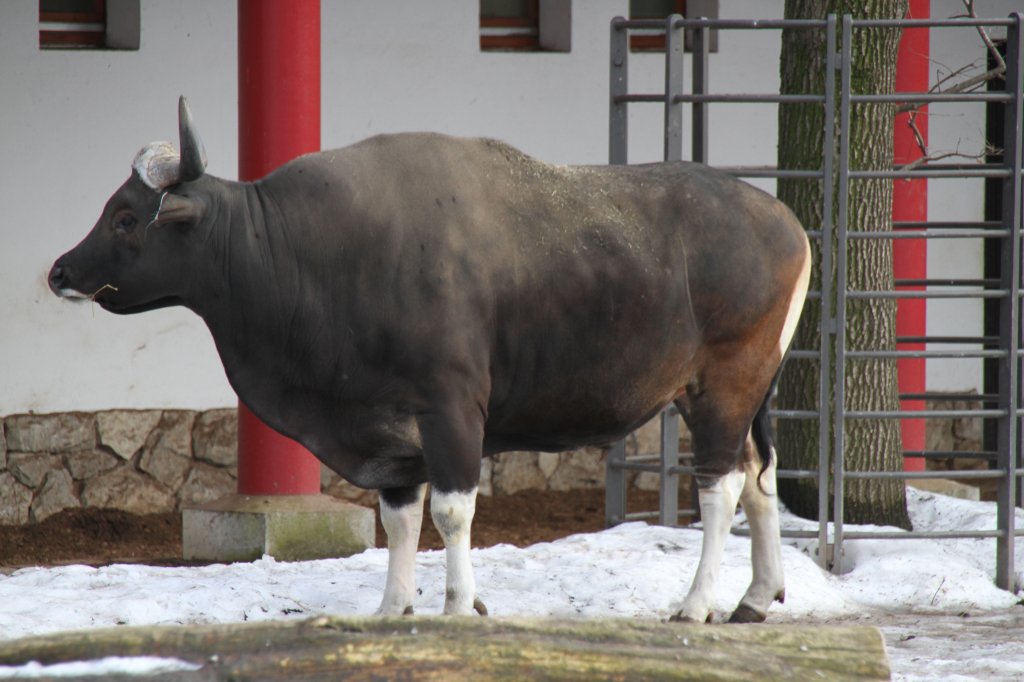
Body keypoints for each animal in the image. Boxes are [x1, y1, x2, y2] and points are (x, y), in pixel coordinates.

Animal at [51, 98, 811, 622]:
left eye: (126, 217)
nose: (61, 271)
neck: (302, 251)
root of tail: (785, 221)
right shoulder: (388, 430)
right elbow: (398, 519)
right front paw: (394, 607)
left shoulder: (450, 409)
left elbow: (450, 513)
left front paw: (457, 605)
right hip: (742, 392)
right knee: (759, 475)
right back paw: (757, 596)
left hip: (725, 384)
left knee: (720, 488)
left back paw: (697, 602)